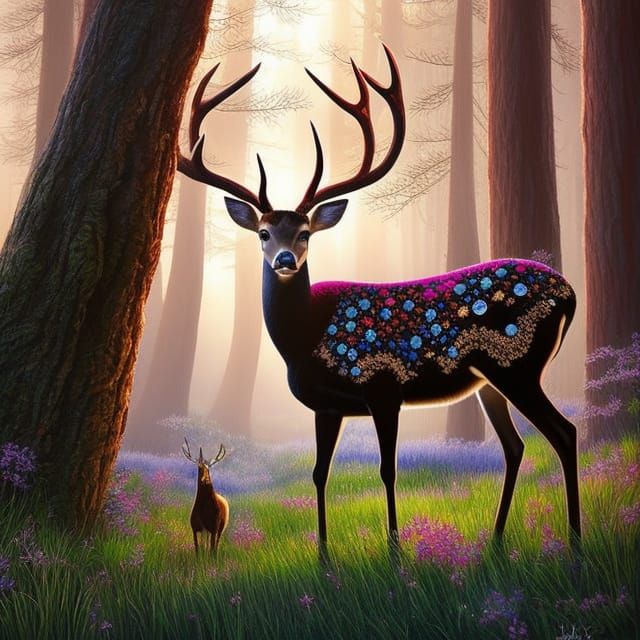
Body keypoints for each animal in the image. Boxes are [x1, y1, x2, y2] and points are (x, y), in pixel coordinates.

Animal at [177, 45, 581, 556]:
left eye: (305, 232)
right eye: (264, 232)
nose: (285, 259)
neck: (304, 338)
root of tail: (570, 292)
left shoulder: (384, 386)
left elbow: (388, 471)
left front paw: (394, 552)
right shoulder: (327, 406)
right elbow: (319, 474)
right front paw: (323, 554)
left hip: (518, 365)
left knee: (564, 433)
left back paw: (575, 544)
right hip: (491, 380)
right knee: (516, 446)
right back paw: (495, 543)